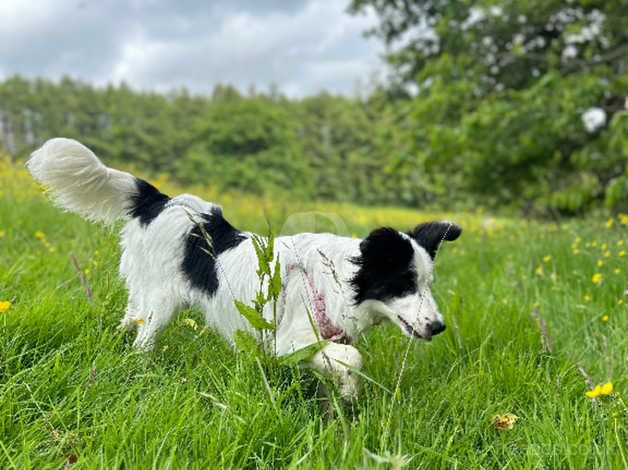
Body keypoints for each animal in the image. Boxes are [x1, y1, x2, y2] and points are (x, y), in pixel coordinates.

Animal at [27, 138, 462, 398]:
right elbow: (352, 358)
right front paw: (349, 391)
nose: (439, 326)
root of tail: (162, 200)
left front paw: (344, 395)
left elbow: (340, 361)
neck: (333, 282)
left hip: (143, 297)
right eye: (404, 284)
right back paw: (138, 370)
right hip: (160, 304)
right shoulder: (287, 340)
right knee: (143, 340)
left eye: (427, 284)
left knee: (127, 321)